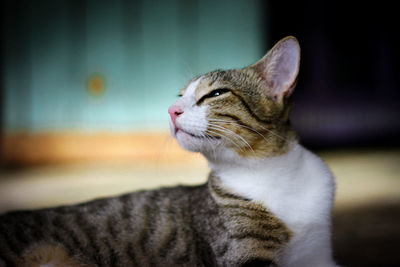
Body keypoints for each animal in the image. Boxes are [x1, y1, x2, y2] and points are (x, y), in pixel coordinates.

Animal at [0, 36, 338, 267]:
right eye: (180, 95)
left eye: (216, 93)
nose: (171, 110)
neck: (273, 172)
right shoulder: (241, 256)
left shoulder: (320, 256)